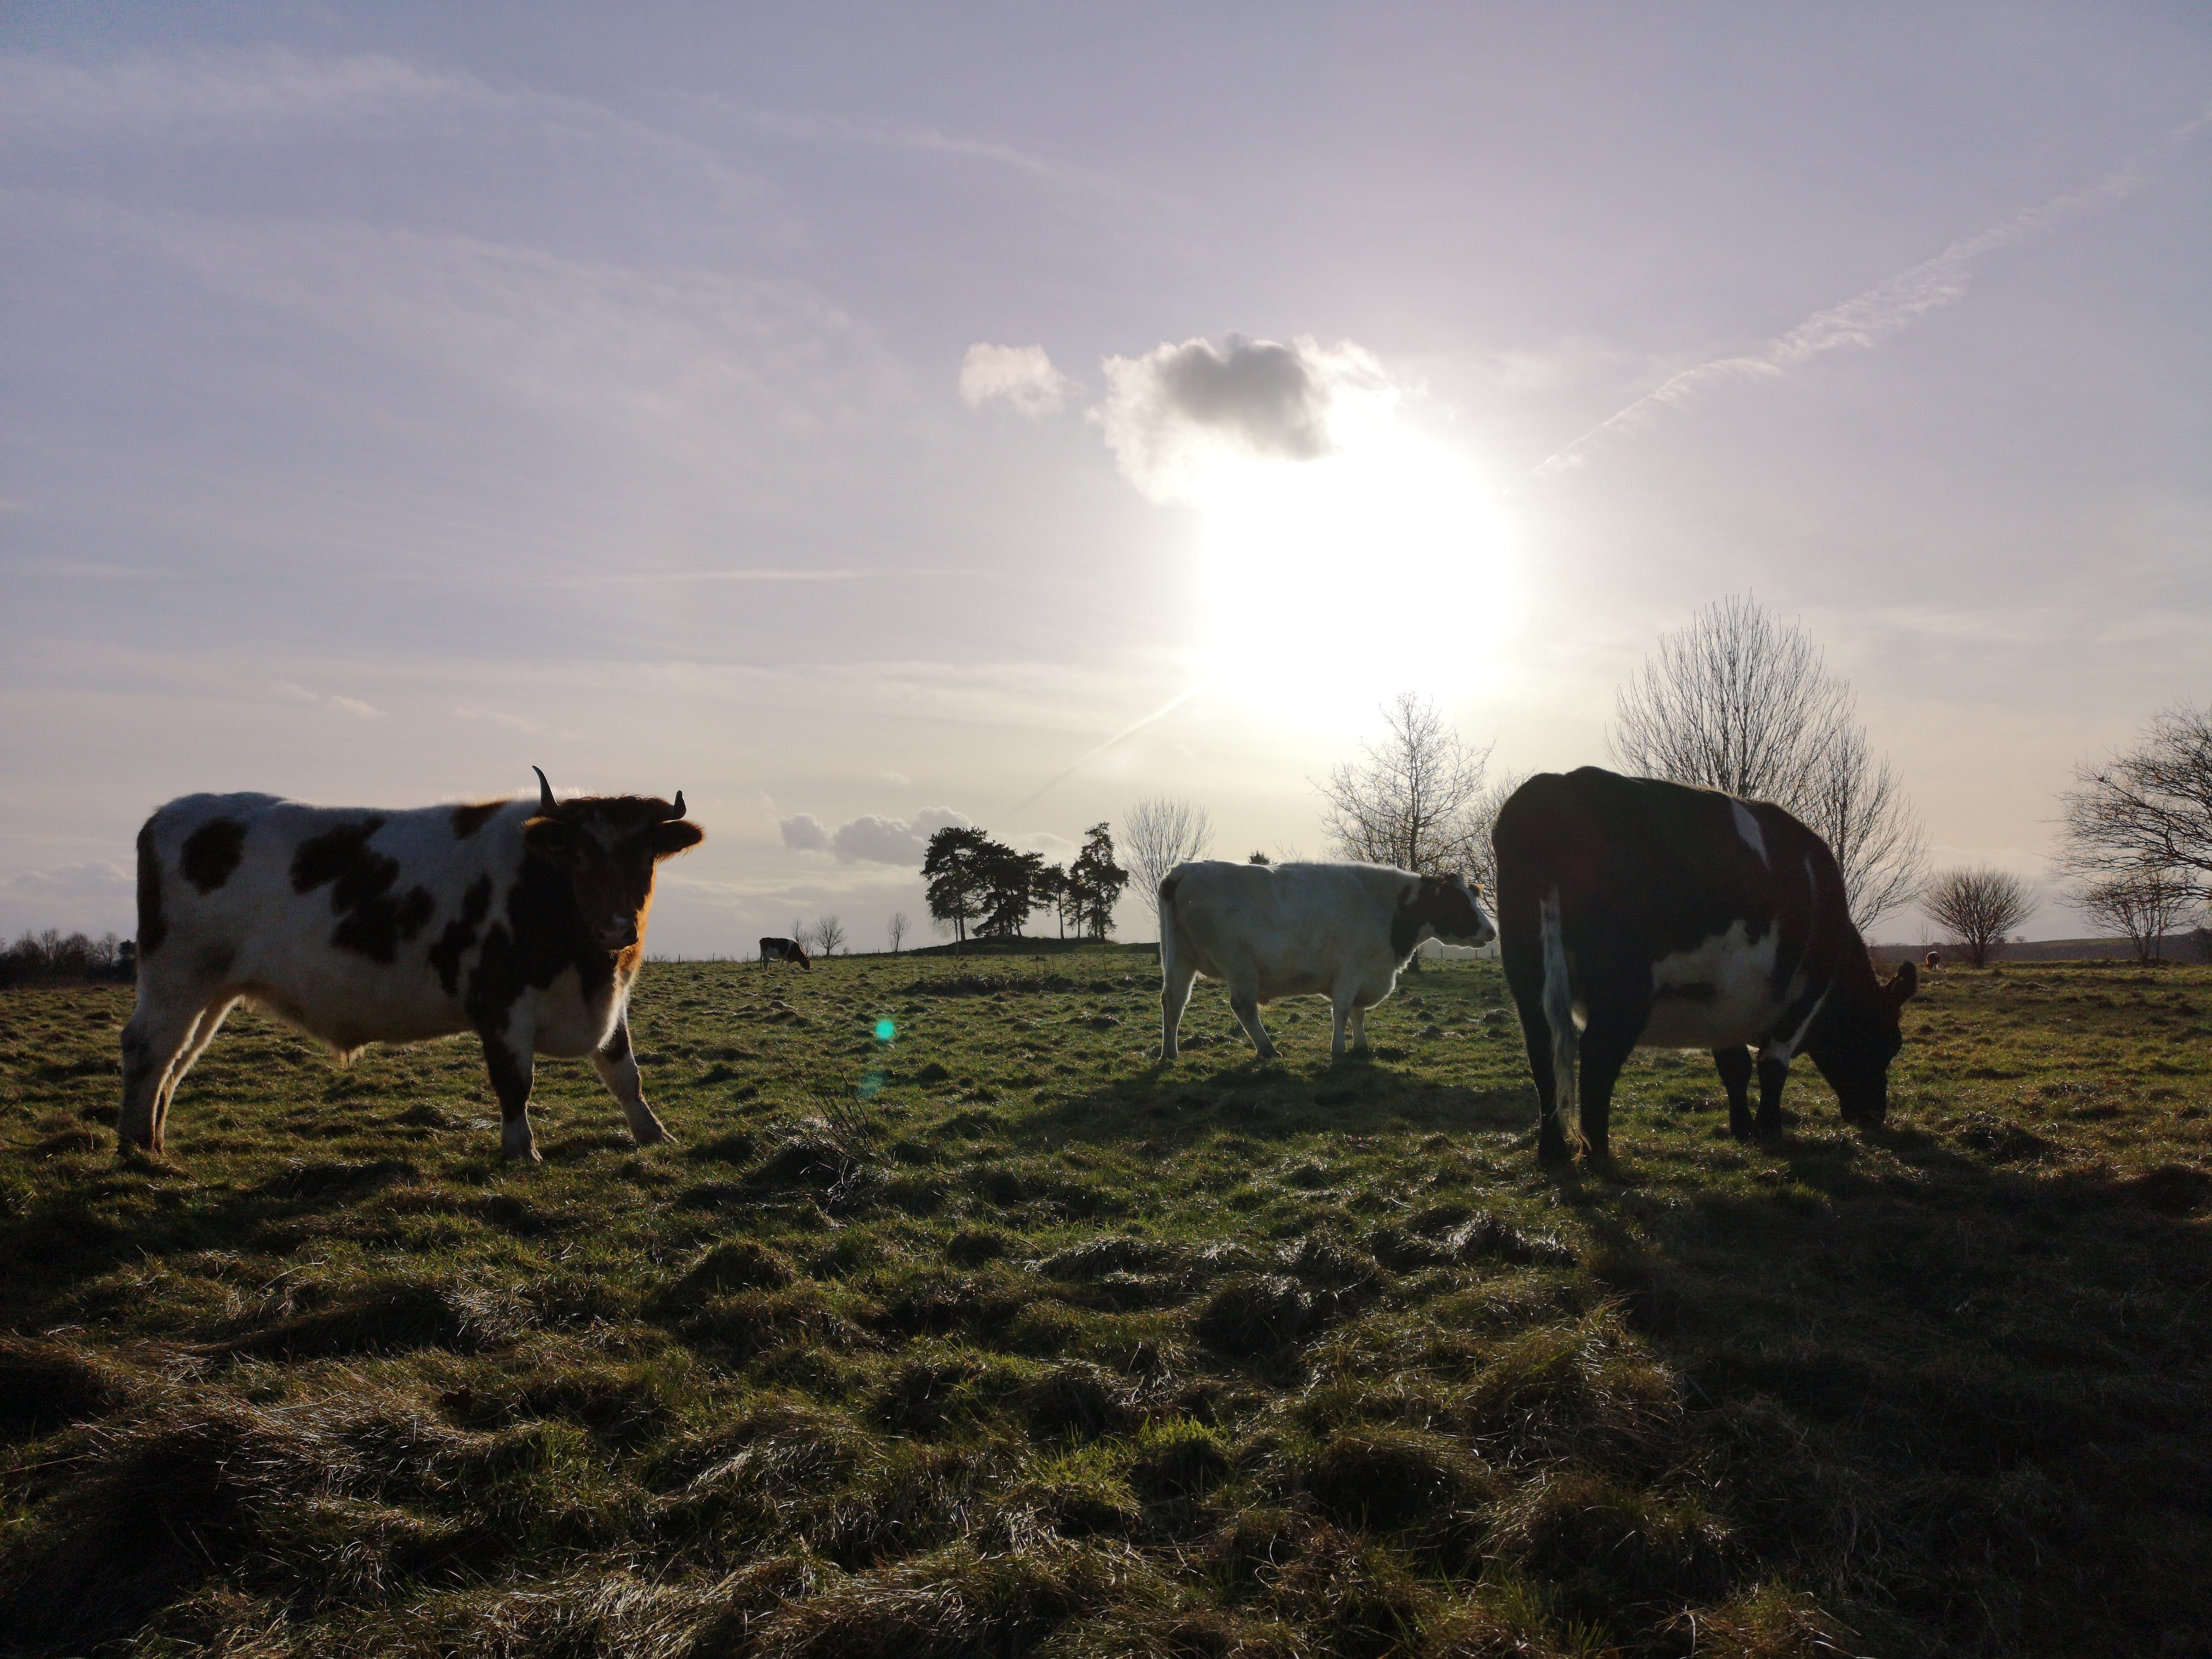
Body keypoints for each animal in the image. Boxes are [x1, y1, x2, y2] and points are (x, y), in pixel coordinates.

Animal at [120, 768, 703, 1163]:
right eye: (578, 855)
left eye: (644, 855)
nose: (616, 929)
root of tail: (170, 813)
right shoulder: (500, 1003)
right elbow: (515, 1081)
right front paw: (521, 1150)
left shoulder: (610, 997)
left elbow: (626, 1074)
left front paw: (655, 1135)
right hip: (176, 975)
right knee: (148, 1048)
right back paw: (134, 1147)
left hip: (212, 989)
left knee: (178, 1059)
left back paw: (154, 1143)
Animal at [1157, 861, 1496, 1061]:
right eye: (1457, 901)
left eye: (1473, 896)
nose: (1492, 931)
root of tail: (1185, 870)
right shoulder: (1351, 970)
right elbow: (1342, 1011)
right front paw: (1339, 1050)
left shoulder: (1367, 974)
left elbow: (1359, 1013)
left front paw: (1361, 1046)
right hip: (1240, 966)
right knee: (1243, 1007)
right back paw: (1268, 1050)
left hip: (1179, 957)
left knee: (1174, 1001)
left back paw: (1169, 1054)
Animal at [1490, 767, 1917, 1166]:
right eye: (1892, 1042)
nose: (1874, 1115)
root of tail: (1558, 785)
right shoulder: (1804, 996)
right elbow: (1771, 1066)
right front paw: (1769, 1130)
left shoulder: (1726, 1002)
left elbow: (1734, 1066)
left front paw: (1743, 1129)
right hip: (1623, 990)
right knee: (1597, 1057)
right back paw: (1599, 1156)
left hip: (1529, 979)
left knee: (1542, 1052)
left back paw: (1553, 1153)